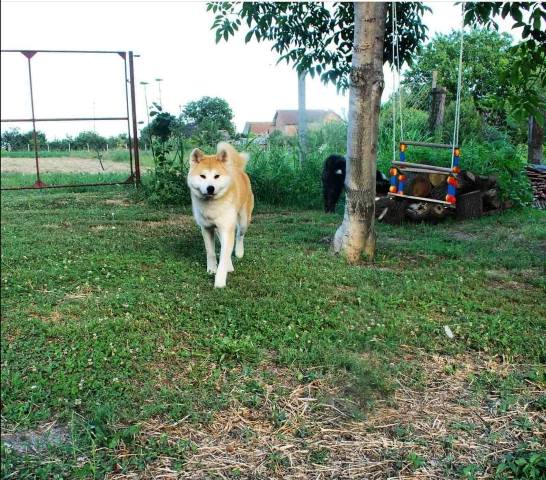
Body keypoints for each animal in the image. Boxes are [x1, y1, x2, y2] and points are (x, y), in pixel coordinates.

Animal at [186, 141, 254, 286]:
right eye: (203, 176)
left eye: (217, 176)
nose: (210, 188)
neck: (212, 206)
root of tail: (237, 168)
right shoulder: (206, 228)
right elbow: (211, 252)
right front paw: (212, 269)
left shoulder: (227, 228)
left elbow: (224, 255)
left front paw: (220, 281)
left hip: (243, 220)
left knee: (239, 235)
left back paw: (239, 252)